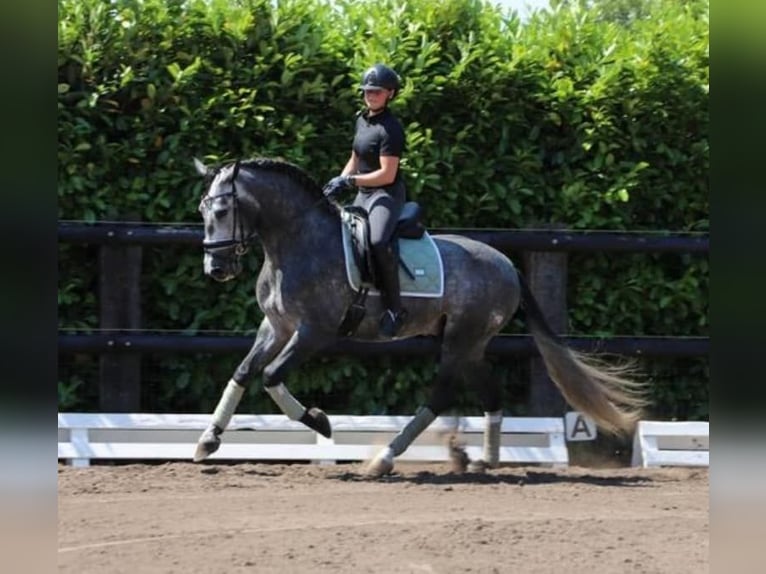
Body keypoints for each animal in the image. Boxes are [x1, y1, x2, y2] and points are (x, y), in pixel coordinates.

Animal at [191, 157, 647, 476]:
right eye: (201, 210)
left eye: (223, 210)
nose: (215, 269)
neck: (296, 241)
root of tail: (507, 265)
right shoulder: (276, 326)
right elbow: (243, 372)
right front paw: (207, 441)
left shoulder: (313, 332)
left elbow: (271, 377)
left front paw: (320, 422)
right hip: (468, 343)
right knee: (489, 393)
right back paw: (483, 460)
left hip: (460, 341)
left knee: (441, 394)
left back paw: (387, 458)